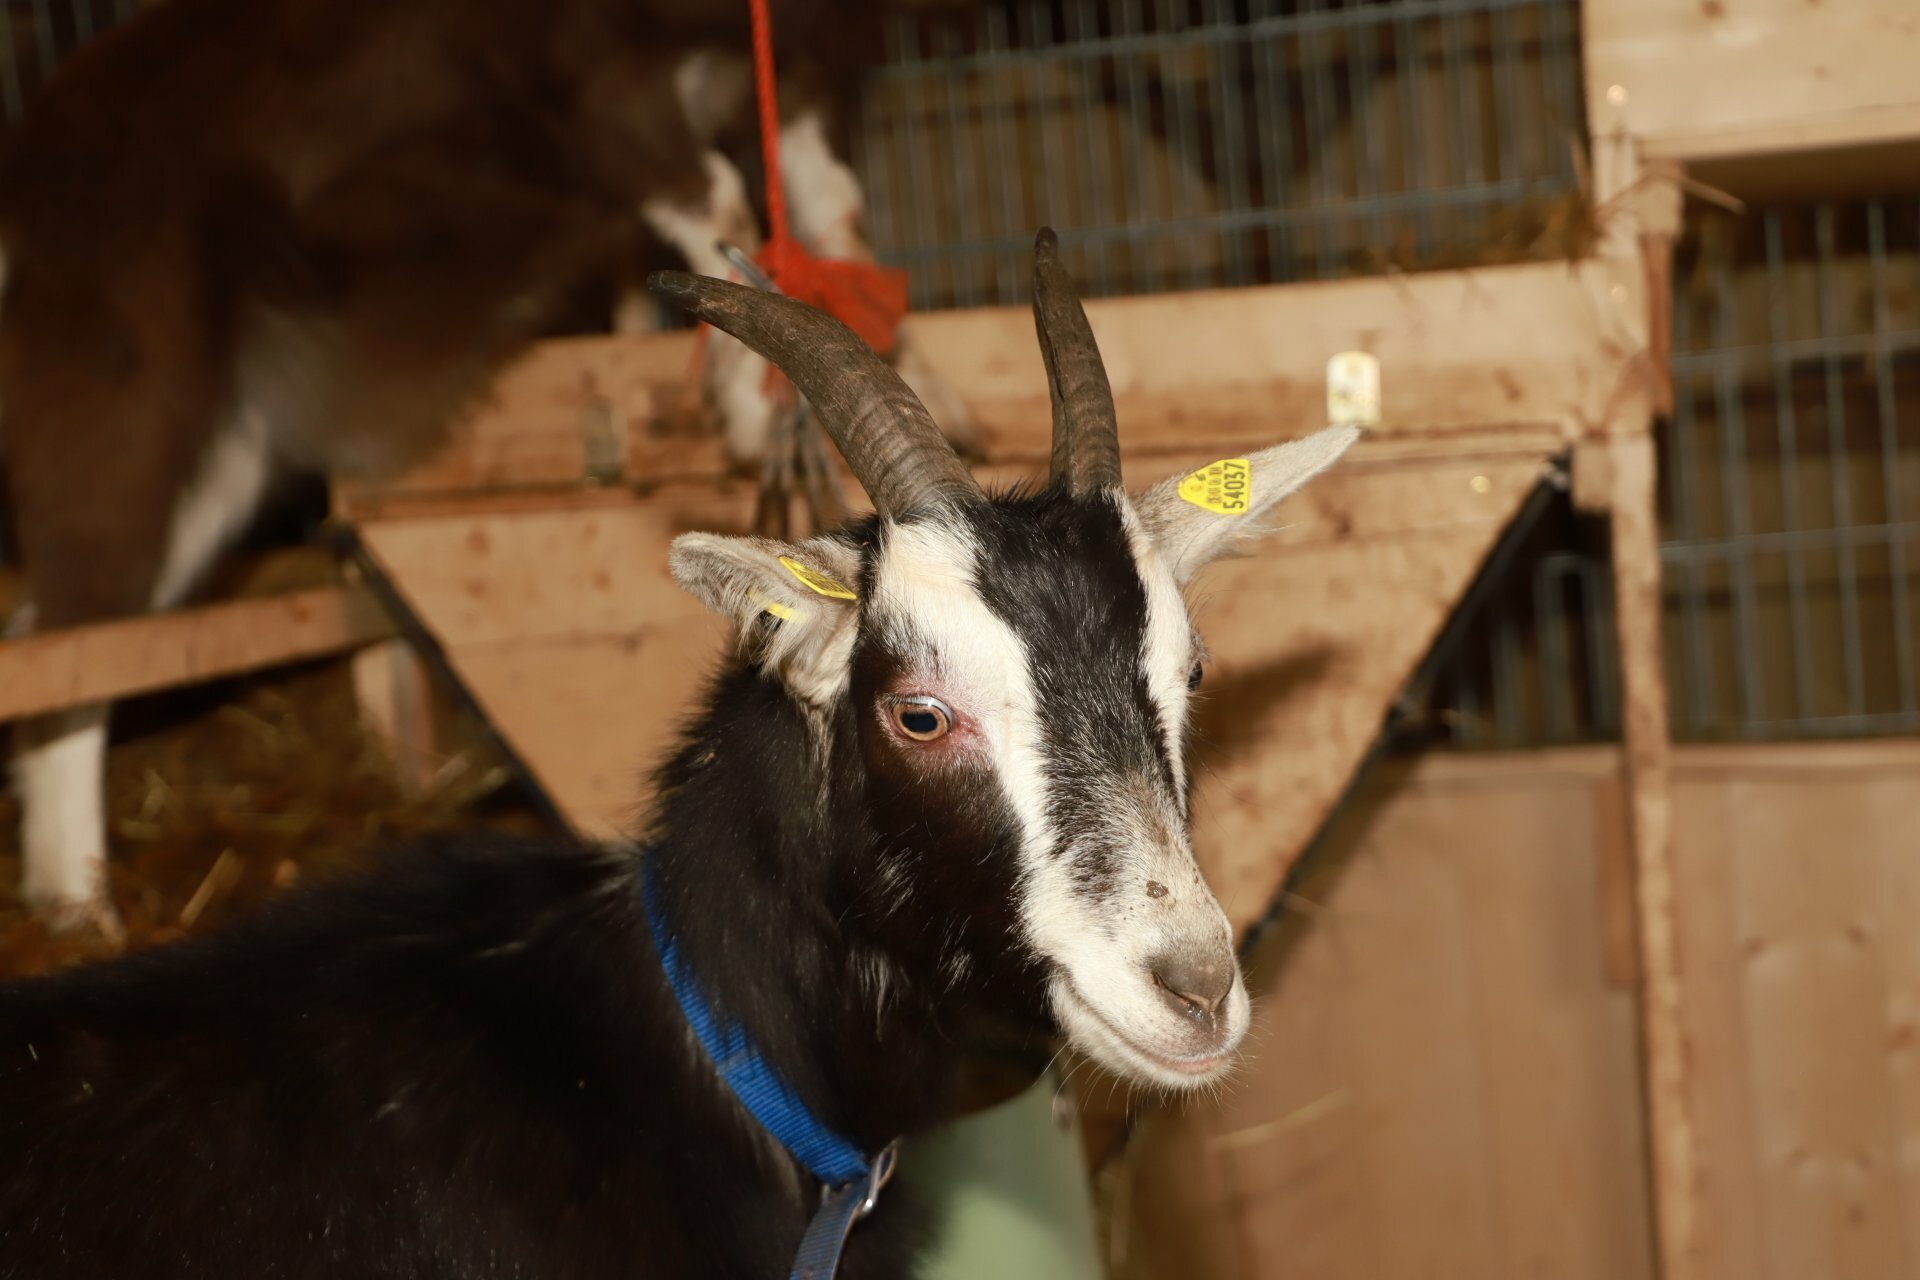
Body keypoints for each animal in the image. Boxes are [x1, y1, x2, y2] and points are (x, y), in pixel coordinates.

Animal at [0, 0, 973, 930]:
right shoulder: (596, 85)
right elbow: (724, 206)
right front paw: (749, 404)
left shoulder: (800, 69)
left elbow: (832, 214)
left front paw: (924, 385)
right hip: (129, 399)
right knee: (75, 622)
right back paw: (79, 902)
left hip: (228, 451)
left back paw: (66, 889)